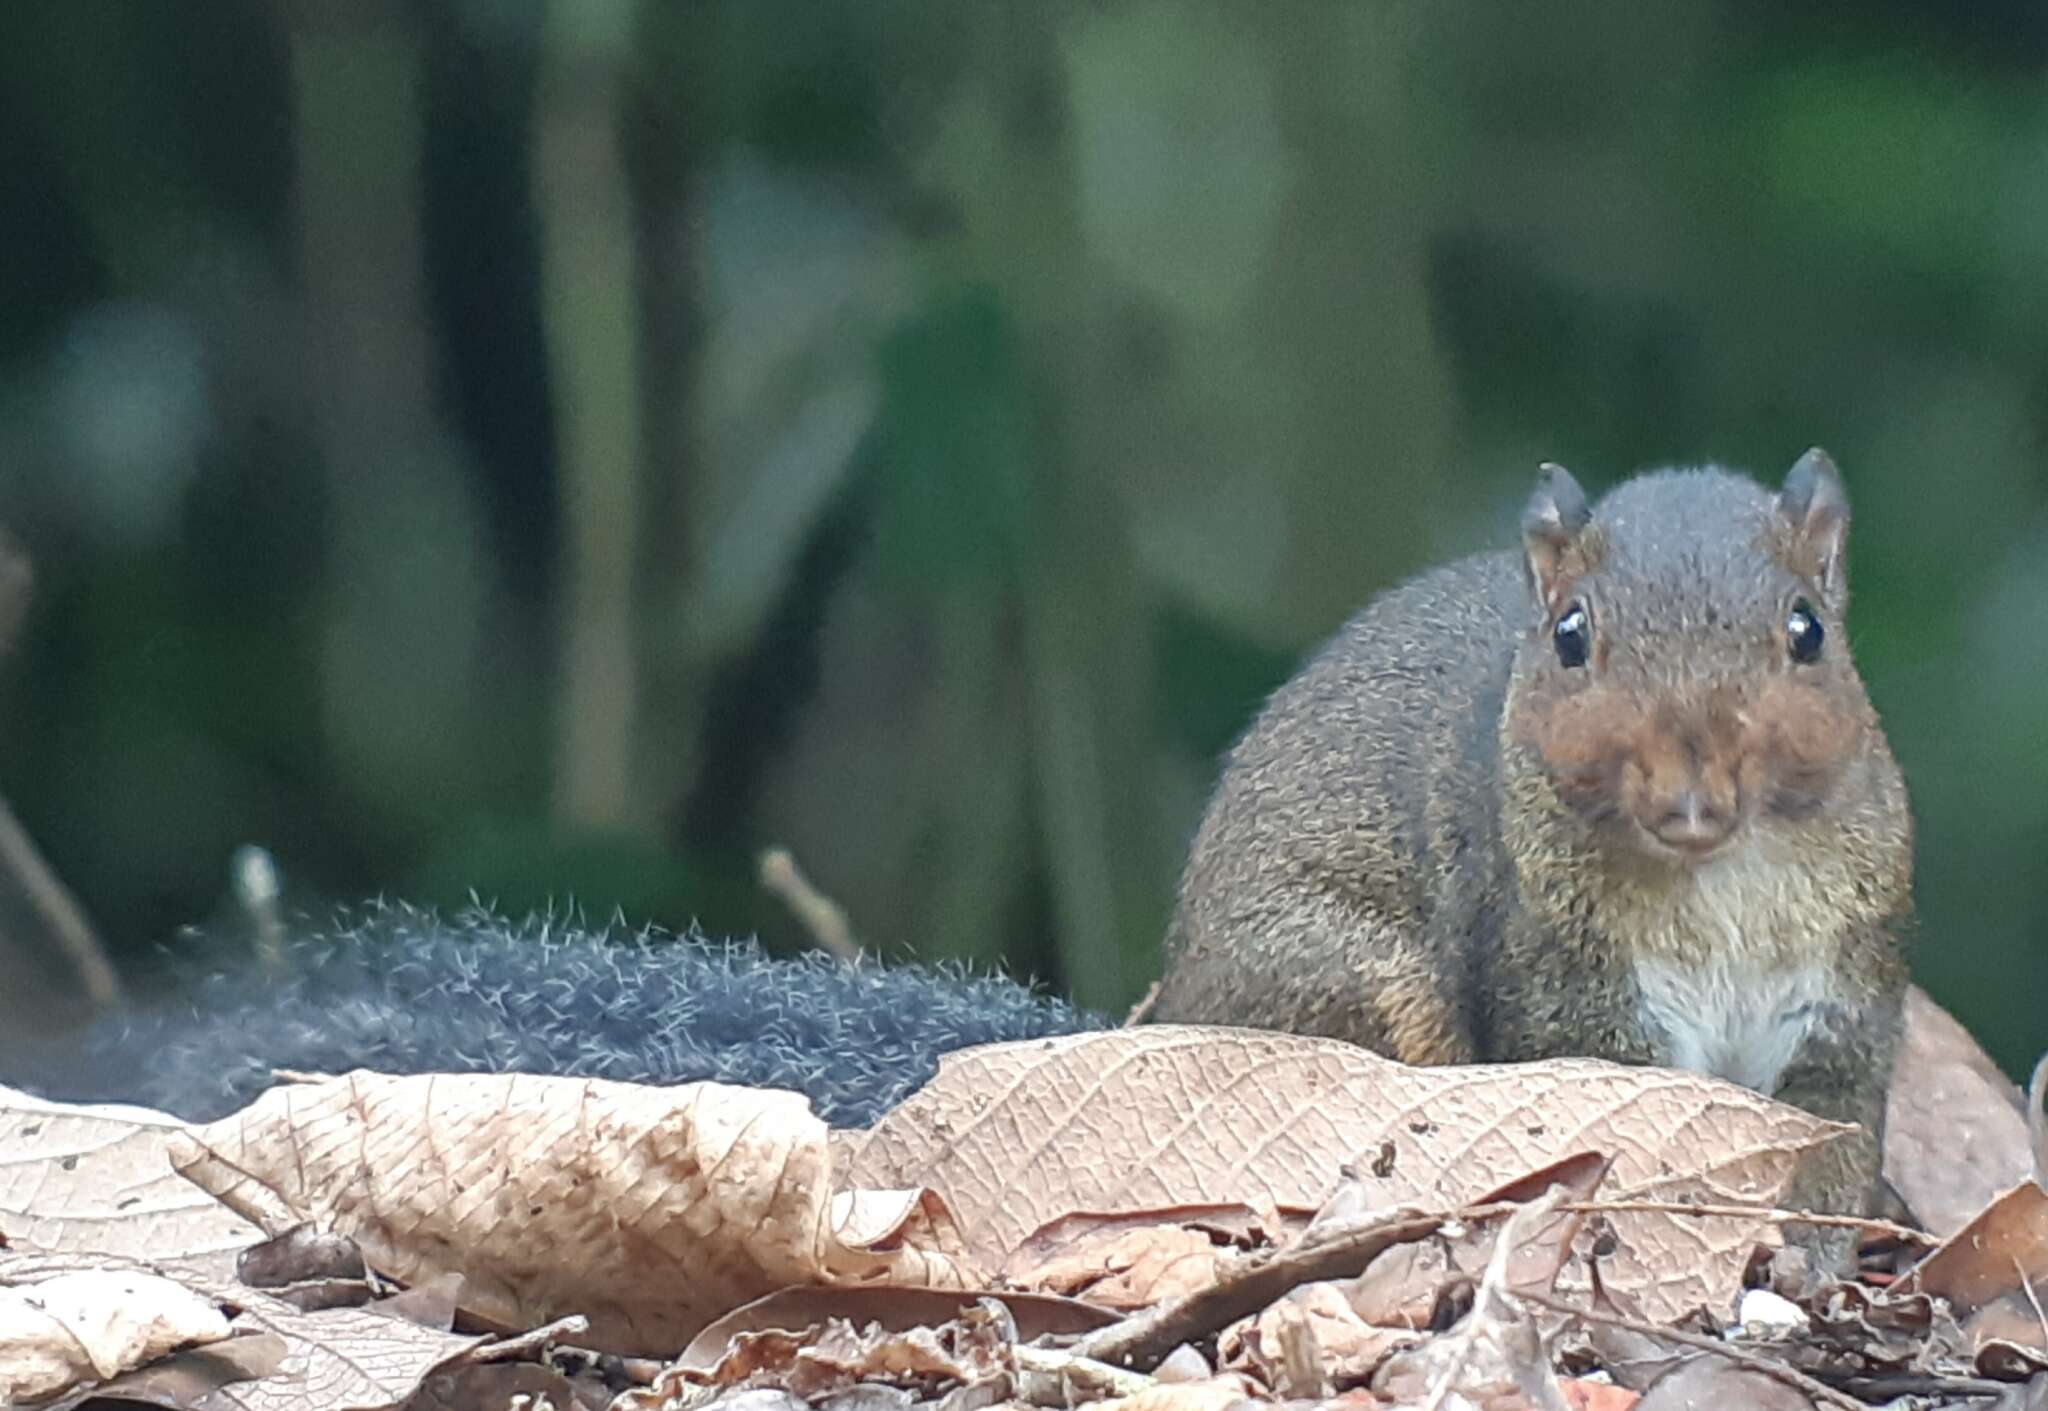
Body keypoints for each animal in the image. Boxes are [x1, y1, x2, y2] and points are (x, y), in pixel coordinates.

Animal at [1155, 450, 1916, 1245]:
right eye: (1569, 635)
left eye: (1808, 630)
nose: (1691, 793)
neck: (1718, 876)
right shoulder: (1569, 993)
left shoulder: (1844, 1002)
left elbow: (1834, 1142)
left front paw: (1811, 1249)